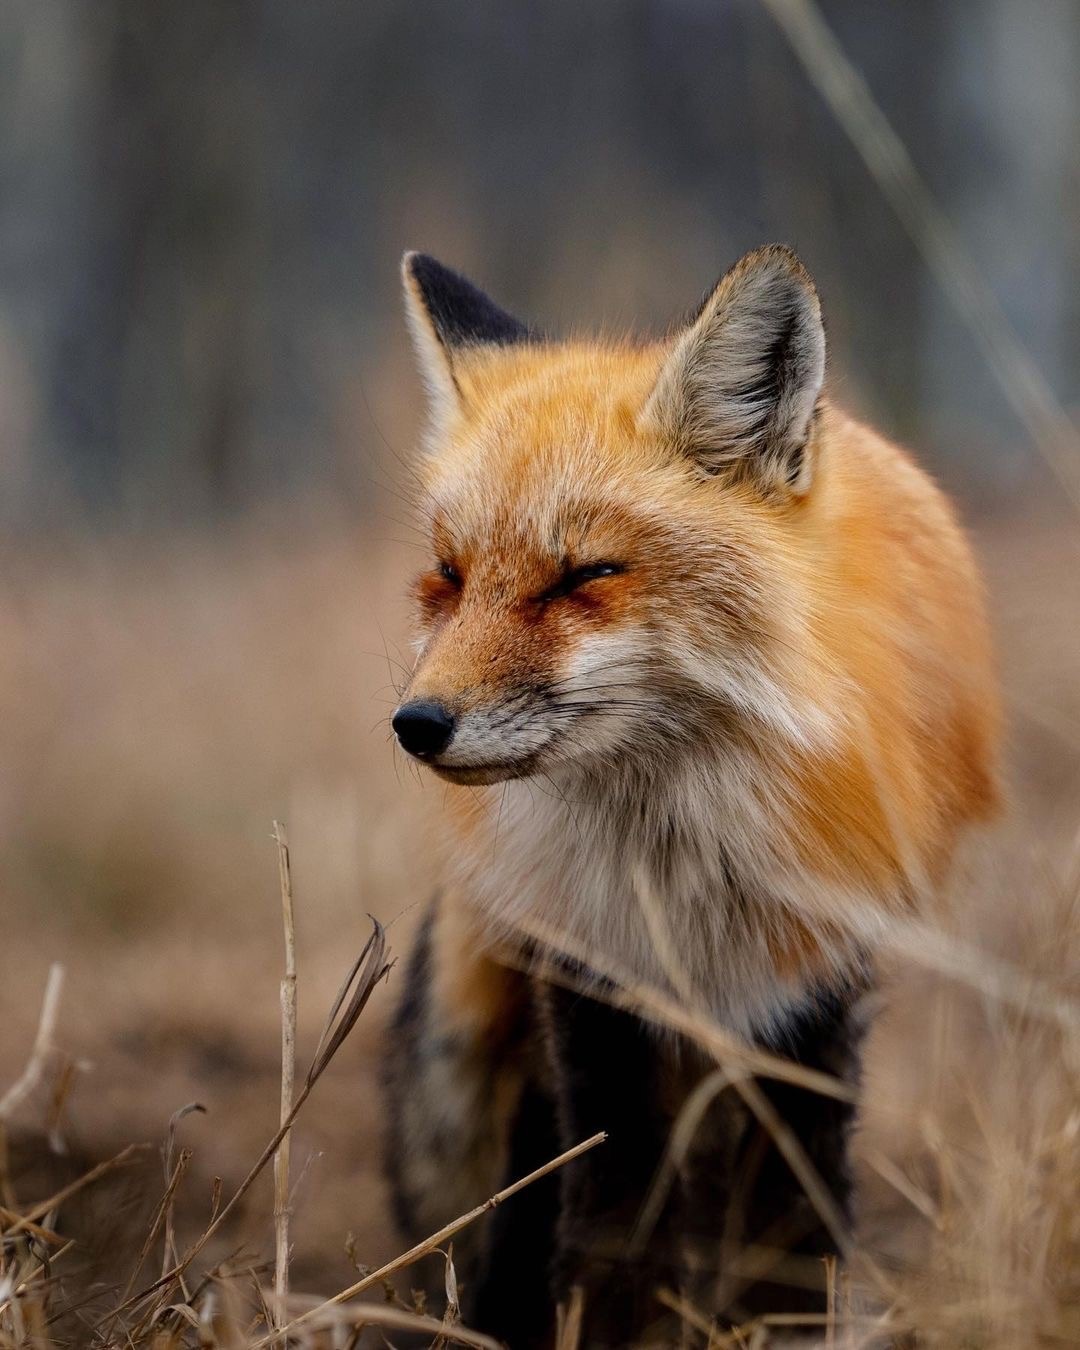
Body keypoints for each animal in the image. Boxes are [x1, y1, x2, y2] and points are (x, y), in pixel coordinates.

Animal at [383, 248, 999, 1344]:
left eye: (584, 575)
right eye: (449, 578)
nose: (418, 724)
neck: (687, 873)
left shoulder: (814, 1000)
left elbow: (793, 1245)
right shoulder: (591, 998)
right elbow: (602, 1249)